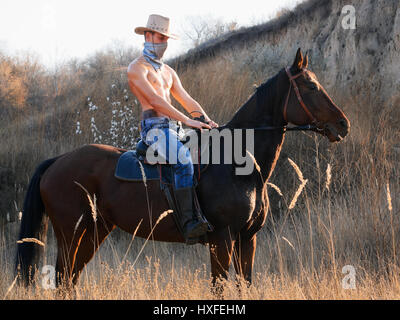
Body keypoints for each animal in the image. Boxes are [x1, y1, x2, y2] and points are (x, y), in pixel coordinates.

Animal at [15, 48, 350, 290]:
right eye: (311, 86)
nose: (343, 124)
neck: (238, 166)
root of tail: (58, 161)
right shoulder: (222, 240)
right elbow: (219, 288)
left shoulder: (247, 239)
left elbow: (245, 285)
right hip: (72, 234)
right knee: (63, 278)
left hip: (94, 232)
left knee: (69, 280)